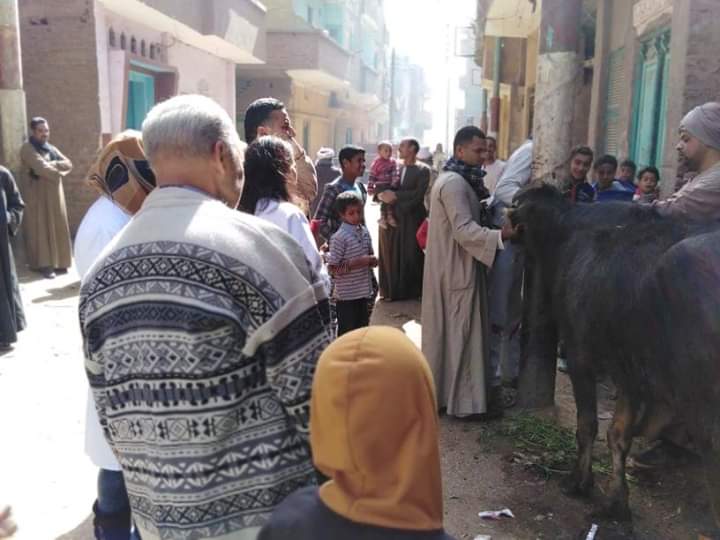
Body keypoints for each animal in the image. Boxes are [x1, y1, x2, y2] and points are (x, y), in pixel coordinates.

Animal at [506, 184, 720, 524]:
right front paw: (617, 501)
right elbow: (618, 435)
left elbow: (587, 425)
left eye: (517, 205)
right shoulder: (628, 374)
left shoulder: (580, 355)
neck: (565, 232)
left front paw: (579, 481)